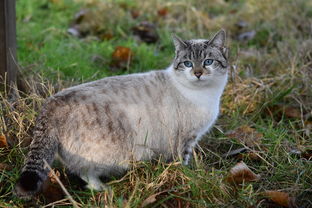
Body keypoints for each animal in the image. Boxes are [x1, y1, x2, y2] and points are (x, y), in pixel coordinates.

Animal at [14, 29, 229, 198]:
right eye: (188, 64)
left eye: (208, 62)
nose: (198, 73)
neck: (205, 95)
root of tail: (51, 103)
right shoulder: (185, 139)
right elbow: (182, 162)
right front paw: (188, 178)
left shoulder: (189, 138)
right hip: (105, 154)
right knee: (85, 172)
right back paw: (104, 189)